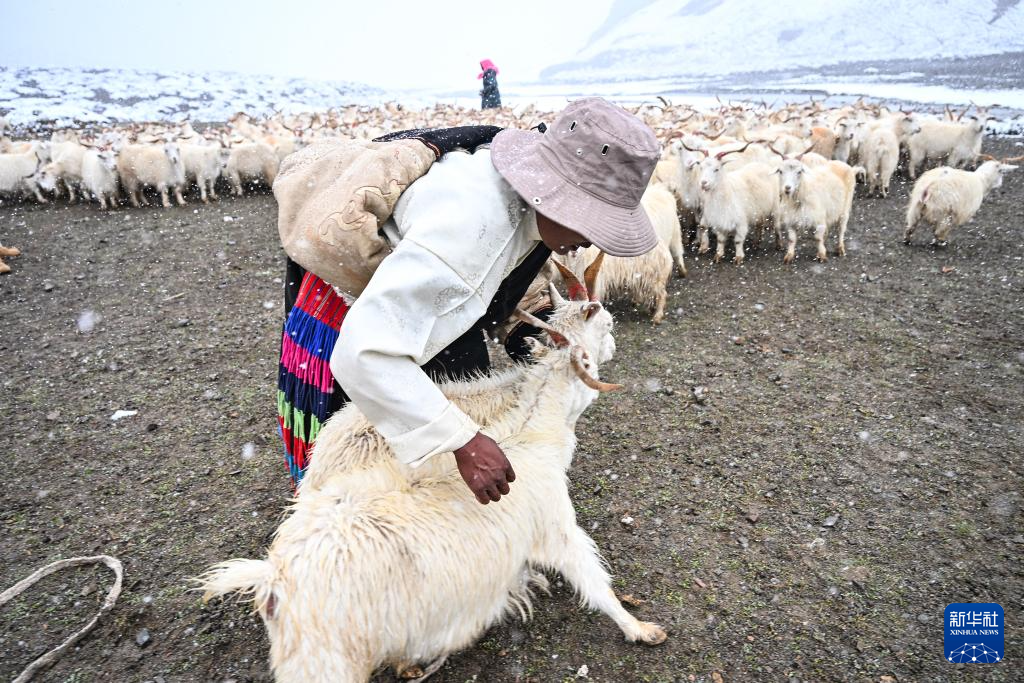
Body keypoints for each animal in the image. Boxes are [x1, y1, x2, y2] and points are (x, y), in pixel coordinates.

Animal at [200, 278, 667, 683]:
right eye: (606, 326)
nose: (613, 348)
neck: (529, 432)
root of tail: (272, 580)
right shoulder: (557, 529)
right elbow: (594, 581)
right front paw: (640, 628)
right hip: (323, 660)